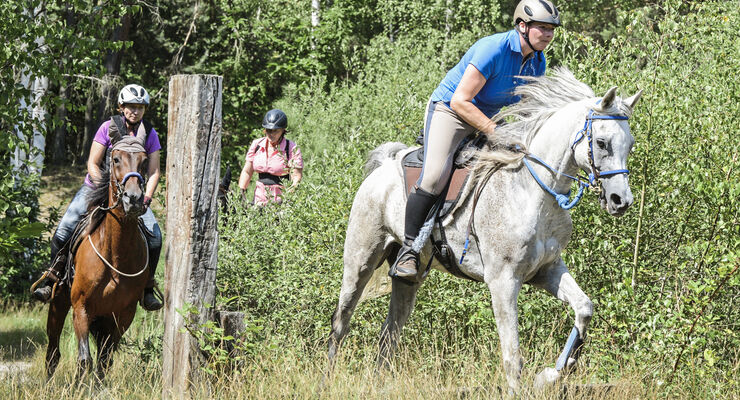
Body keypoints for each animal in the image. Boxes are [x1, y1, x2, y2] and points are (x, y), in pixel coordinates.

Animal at [44, 134, 151, 378]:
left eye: (144, 161)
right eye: (116, 159)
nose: (133, 199)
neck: (115, 256)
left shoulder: (123, 315)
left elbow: (104, 361)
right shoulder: (81, 307)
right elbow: (85, 360)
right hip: (59, 301)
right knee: (53, 351)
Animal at [330, 67, 640, 392]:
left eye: (630, 144)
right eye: (602, 143)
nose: (621, 201)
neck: (532, 192)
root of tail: (383, 168)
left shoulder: (547, 270)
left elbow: (584, 309)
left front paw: (554, 373)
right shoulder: (503, 281)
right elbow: (512, 355)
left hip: (407, 279)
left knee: (389, 334)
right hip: (361, 260)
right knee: (341, 321)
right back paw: (327, 378)